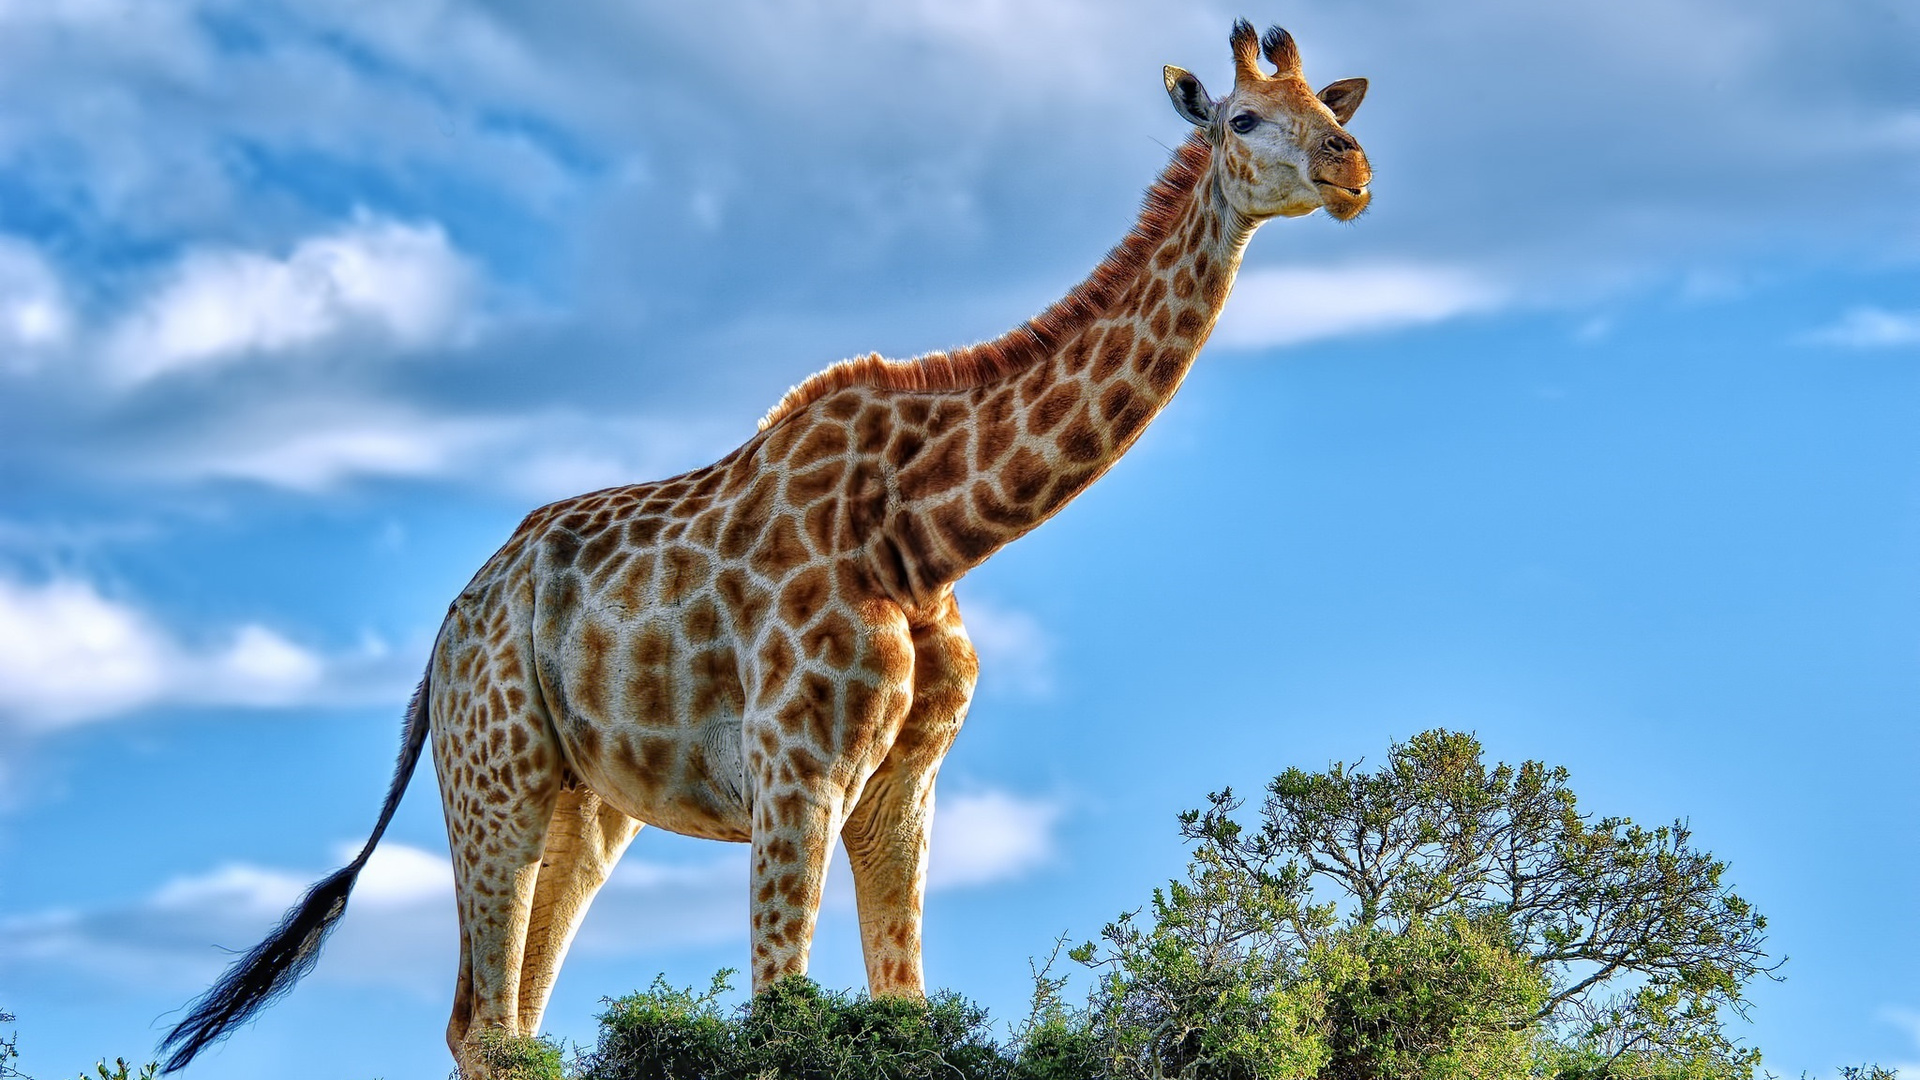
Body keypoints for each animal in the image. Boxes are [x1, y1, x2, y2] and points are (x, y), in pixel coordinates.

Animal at [158, 20, 1370, 1077]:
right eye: (1245, 119)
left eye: (1330, 103)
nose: (1352, 168)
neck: (929, 534)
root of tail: (443, 637)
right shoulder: (797, 773)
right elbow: (780, 1019)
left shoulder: (902, 790)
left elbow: (903, 1012)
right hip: (492, 777)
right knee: (484, 1023)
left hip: (584, 807)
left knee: (507, 1025)